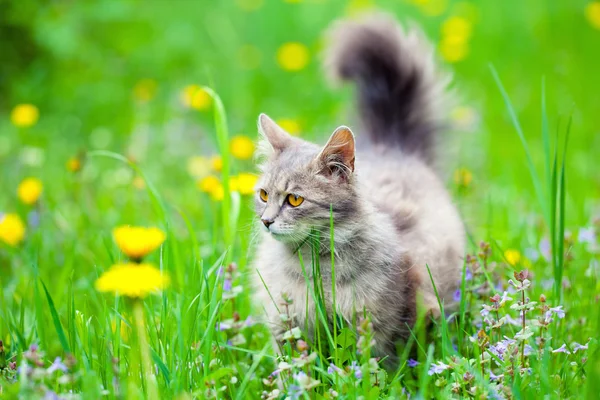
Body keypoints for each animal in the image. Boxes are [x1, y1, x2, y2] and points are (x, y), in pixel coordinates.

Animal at [248, 13, 464, 362]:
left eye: (294, 200)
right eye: (264, 195)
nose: (266, 221)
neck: (316, 268)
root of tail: (391, 145)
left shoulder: (376, 323)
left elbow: (372, 364)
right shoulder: (286, 321)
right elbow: (294, 365)